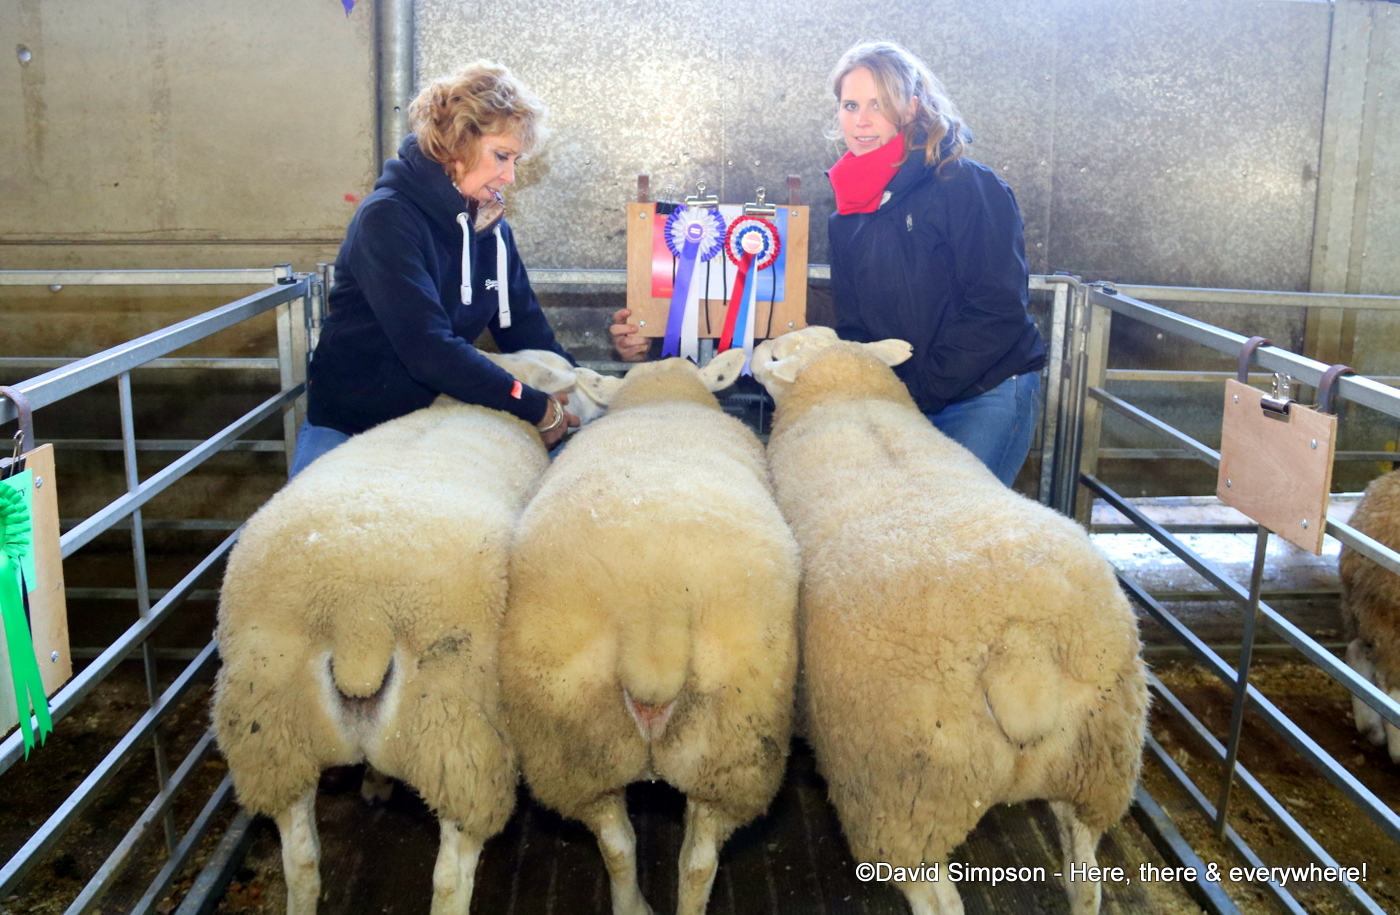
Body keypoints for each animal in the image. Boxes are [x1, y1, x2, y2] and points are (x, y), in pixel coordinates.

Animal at [212, 350, 600, 915]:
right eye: (578, 382)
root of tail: (359, 617)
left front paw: (376, 782)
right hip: (460, 733)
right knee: (451, 876)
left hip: (273, 728)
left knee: (301, 860)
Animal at [499, 349, 800, 915]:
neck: (661, 398)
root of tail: (654, 619)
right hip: (732, 749)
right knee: (697, 860)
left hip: (580, 742)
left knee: (619, 845)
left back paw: (631, 903)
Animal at [749, 327, 1149, 915]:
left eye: (777, 353)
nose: (753, 349)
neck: (846, 393)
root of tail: (1021, 652)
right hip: (1096, 762)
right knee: (1086, 876)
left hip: (905, 791)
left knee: (935, 895)